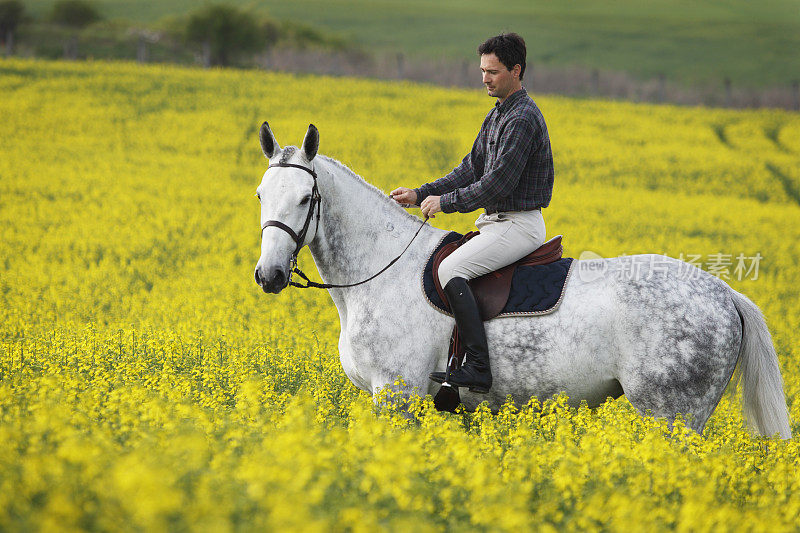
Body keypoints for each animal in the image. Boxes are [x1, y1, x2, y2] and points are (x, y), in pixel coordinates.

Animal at [253, 122, 792, 438]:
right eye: (261, 194)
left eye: (305, 198)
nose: (269, 275)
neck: (381, 271)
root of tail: (725, 293)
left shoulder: (396, 396)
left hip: (673, 415)